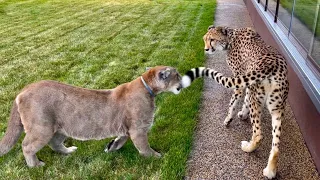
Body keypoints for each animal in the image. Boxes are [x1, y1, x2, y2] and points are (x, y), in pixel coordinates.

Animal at [181, 25, 288, 179]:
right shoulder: (248, 83)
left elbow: (233, 103)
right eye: (205, 39)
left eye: (212, 40)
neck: (230, 38)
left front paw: (228, 120)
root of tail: (274, 65)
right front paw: (242, 114)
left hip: (258, 102)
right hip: (277, 108)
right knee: (276, 145)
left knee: (258, 134)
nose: (206, 49)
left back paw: (247, 147)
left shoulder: (239, 80)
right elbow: (245, 100)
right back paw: (270, 171)